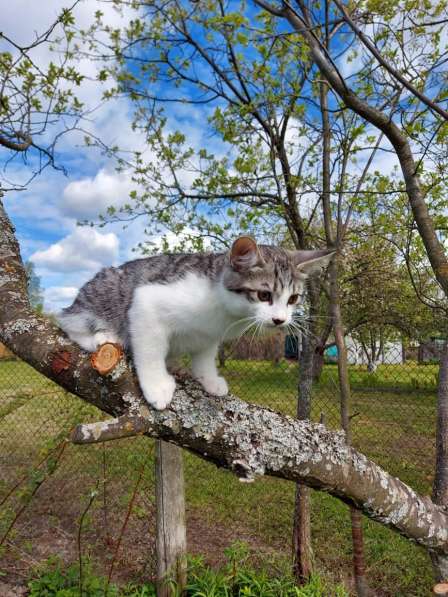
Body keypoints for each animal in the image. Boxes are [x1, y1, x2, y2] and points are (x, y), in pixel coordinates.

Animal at [57, 237, 334, 410]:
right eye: (264, 295)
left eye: (293, 299)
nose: (280, 319)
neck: (224, 309)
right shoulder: (146, 302)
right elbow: (150, 350)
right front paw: (157, 386)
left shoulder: (209, 334)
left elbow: (205, 356)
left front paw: (208, 379)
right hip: (101, 294)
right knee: (69, 322)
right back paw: (102, 336)